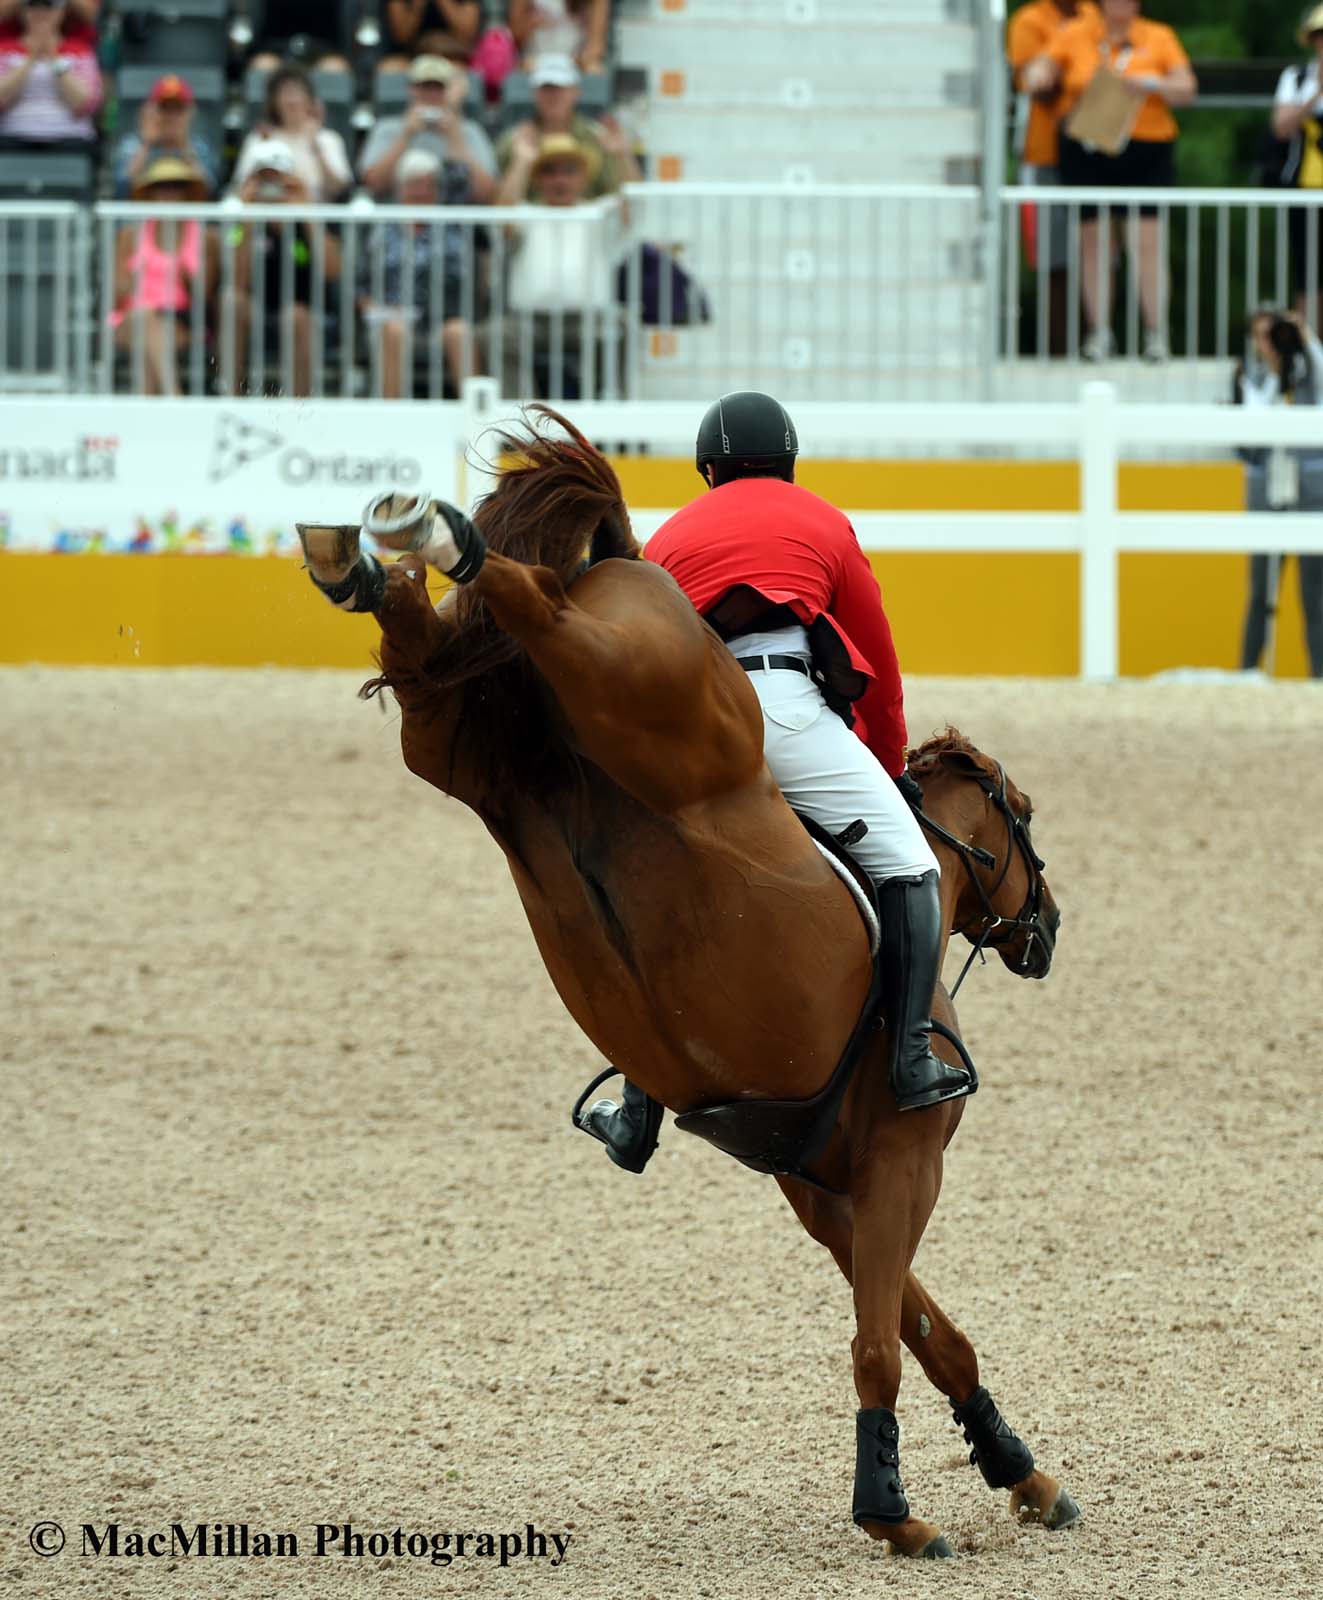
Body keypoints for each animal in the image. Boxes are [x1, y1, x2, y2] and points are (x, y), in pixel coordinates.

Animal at [297, 412, 1075, 1561]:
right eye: (1020, 814)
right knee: (537, 606)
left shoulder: (819, 1187)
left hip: (463, 745)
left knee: (430, 645)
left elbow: (933, 1335)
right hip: (650, 684)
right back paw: (428, 538)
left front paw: (1018, 1469)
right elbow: (883, 1341)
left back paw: (373, 553)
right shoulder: (902, 1161)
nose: (1047, 931)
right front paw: (891, 1509)